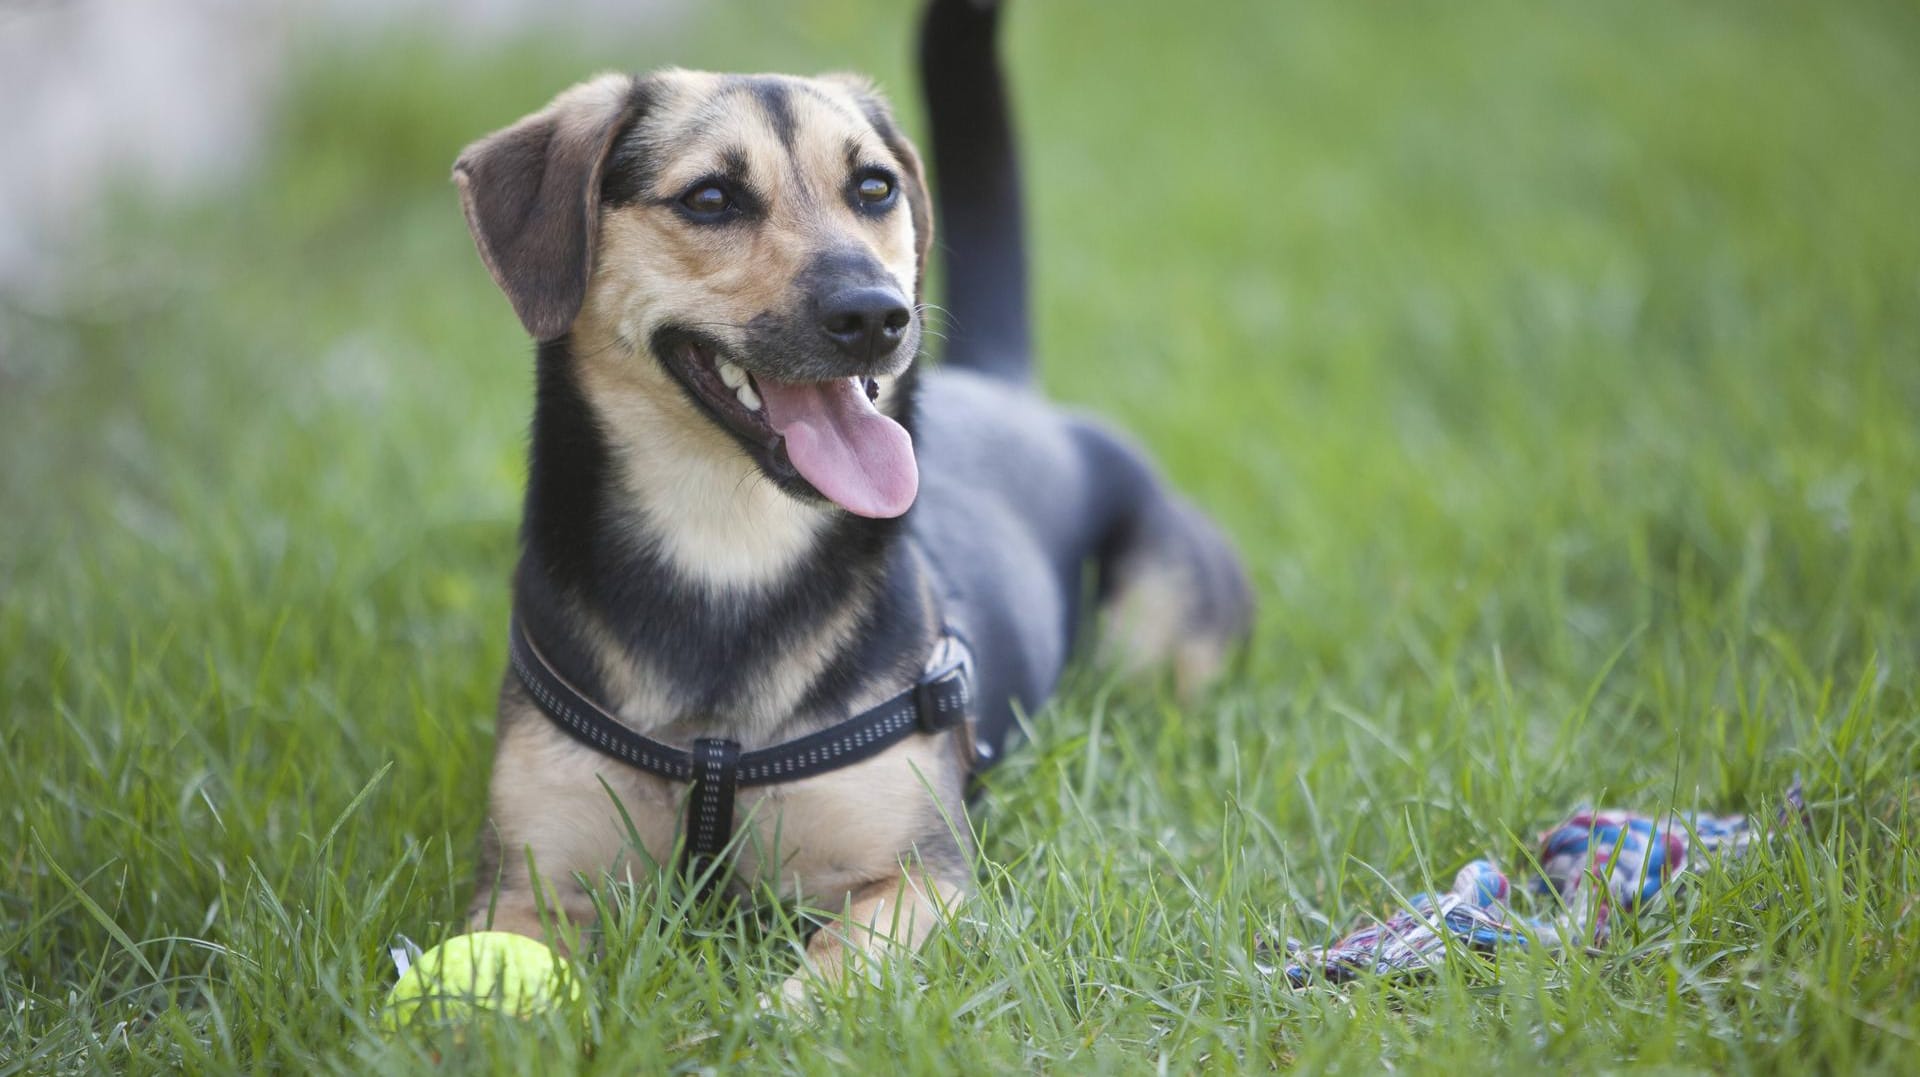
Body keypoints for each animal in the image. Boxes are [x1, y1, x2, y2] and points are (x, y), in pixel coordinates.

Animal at [455, 0, 1251, 998]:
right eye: (710, 199)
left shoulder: (917, 875)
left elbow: (813, 988)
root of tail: (1009, 386)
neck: (729, 549)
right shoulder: (528, 884)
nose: (878, 316)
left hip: (1154, 639)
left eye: (874, 188)